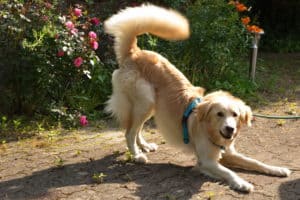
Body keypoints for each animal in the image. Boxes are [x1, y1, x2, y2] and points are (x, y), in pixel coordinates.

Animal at [105, 4, 290, 192]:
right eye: (219, 114)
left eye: (235, 115)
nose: (230, 129)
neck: (211, 131)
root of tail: (134, 52)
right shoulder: (207, 161)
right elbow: (229, 172)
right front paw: (242, 183)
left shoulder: (229, 153)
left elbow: (254, 161)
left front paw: (277, 169)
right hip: (144, 102)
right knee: (129, 132)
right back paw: (137, 155)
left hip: (149, 106)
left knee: (137, 129)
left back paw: (144, 146)